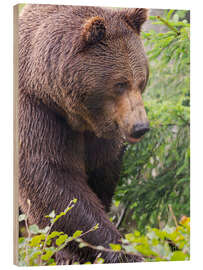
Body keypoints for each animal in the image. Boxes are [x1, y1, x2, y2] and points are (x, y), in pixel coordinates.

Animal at [18, 4, 150, 264]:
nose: (140, 127)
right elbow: (51, 178)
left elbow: (101, 172)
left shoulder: (103, 133)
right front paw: (119, 250)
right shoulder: (36, 110)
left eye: (141, 81)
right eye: (120, 83)